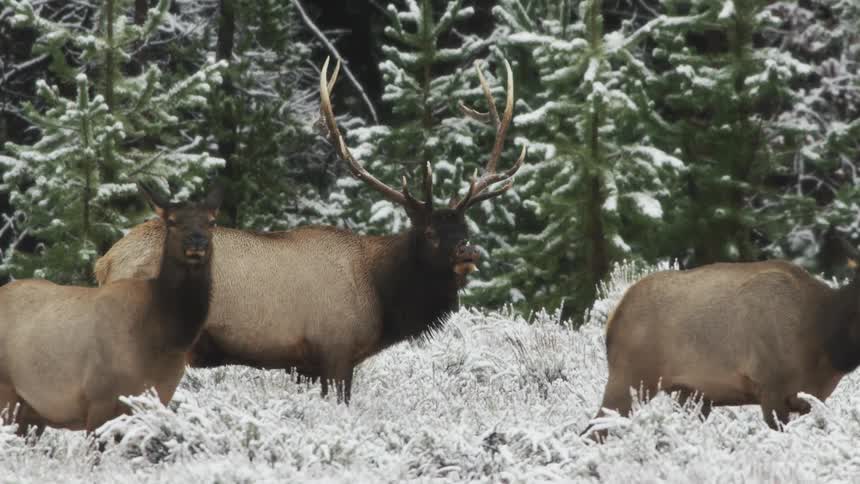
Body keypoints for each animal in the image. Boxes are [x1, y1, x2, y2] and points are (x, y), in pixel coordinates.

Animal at [0, 182, 221, 436]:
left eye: (211, 221)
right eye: (172, 221)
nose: (198, 242)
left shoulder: (158, 397)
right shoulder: (99, 395)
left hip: (32, 410)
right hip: (5, 389)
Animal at [93, 57, 526, 403]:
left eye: (464, 226)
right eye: (431, 233)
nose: (468, 252)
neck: (380, 293)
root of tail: (106, 262)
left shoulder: (304, 364)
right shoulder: (335, 350)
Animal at [583, 259, 860, 439]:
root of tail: (613, 320)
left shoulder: (807, 400)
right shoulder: (770, 386)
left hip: (689, 394)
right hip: (631, 378)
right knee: (594, 429)